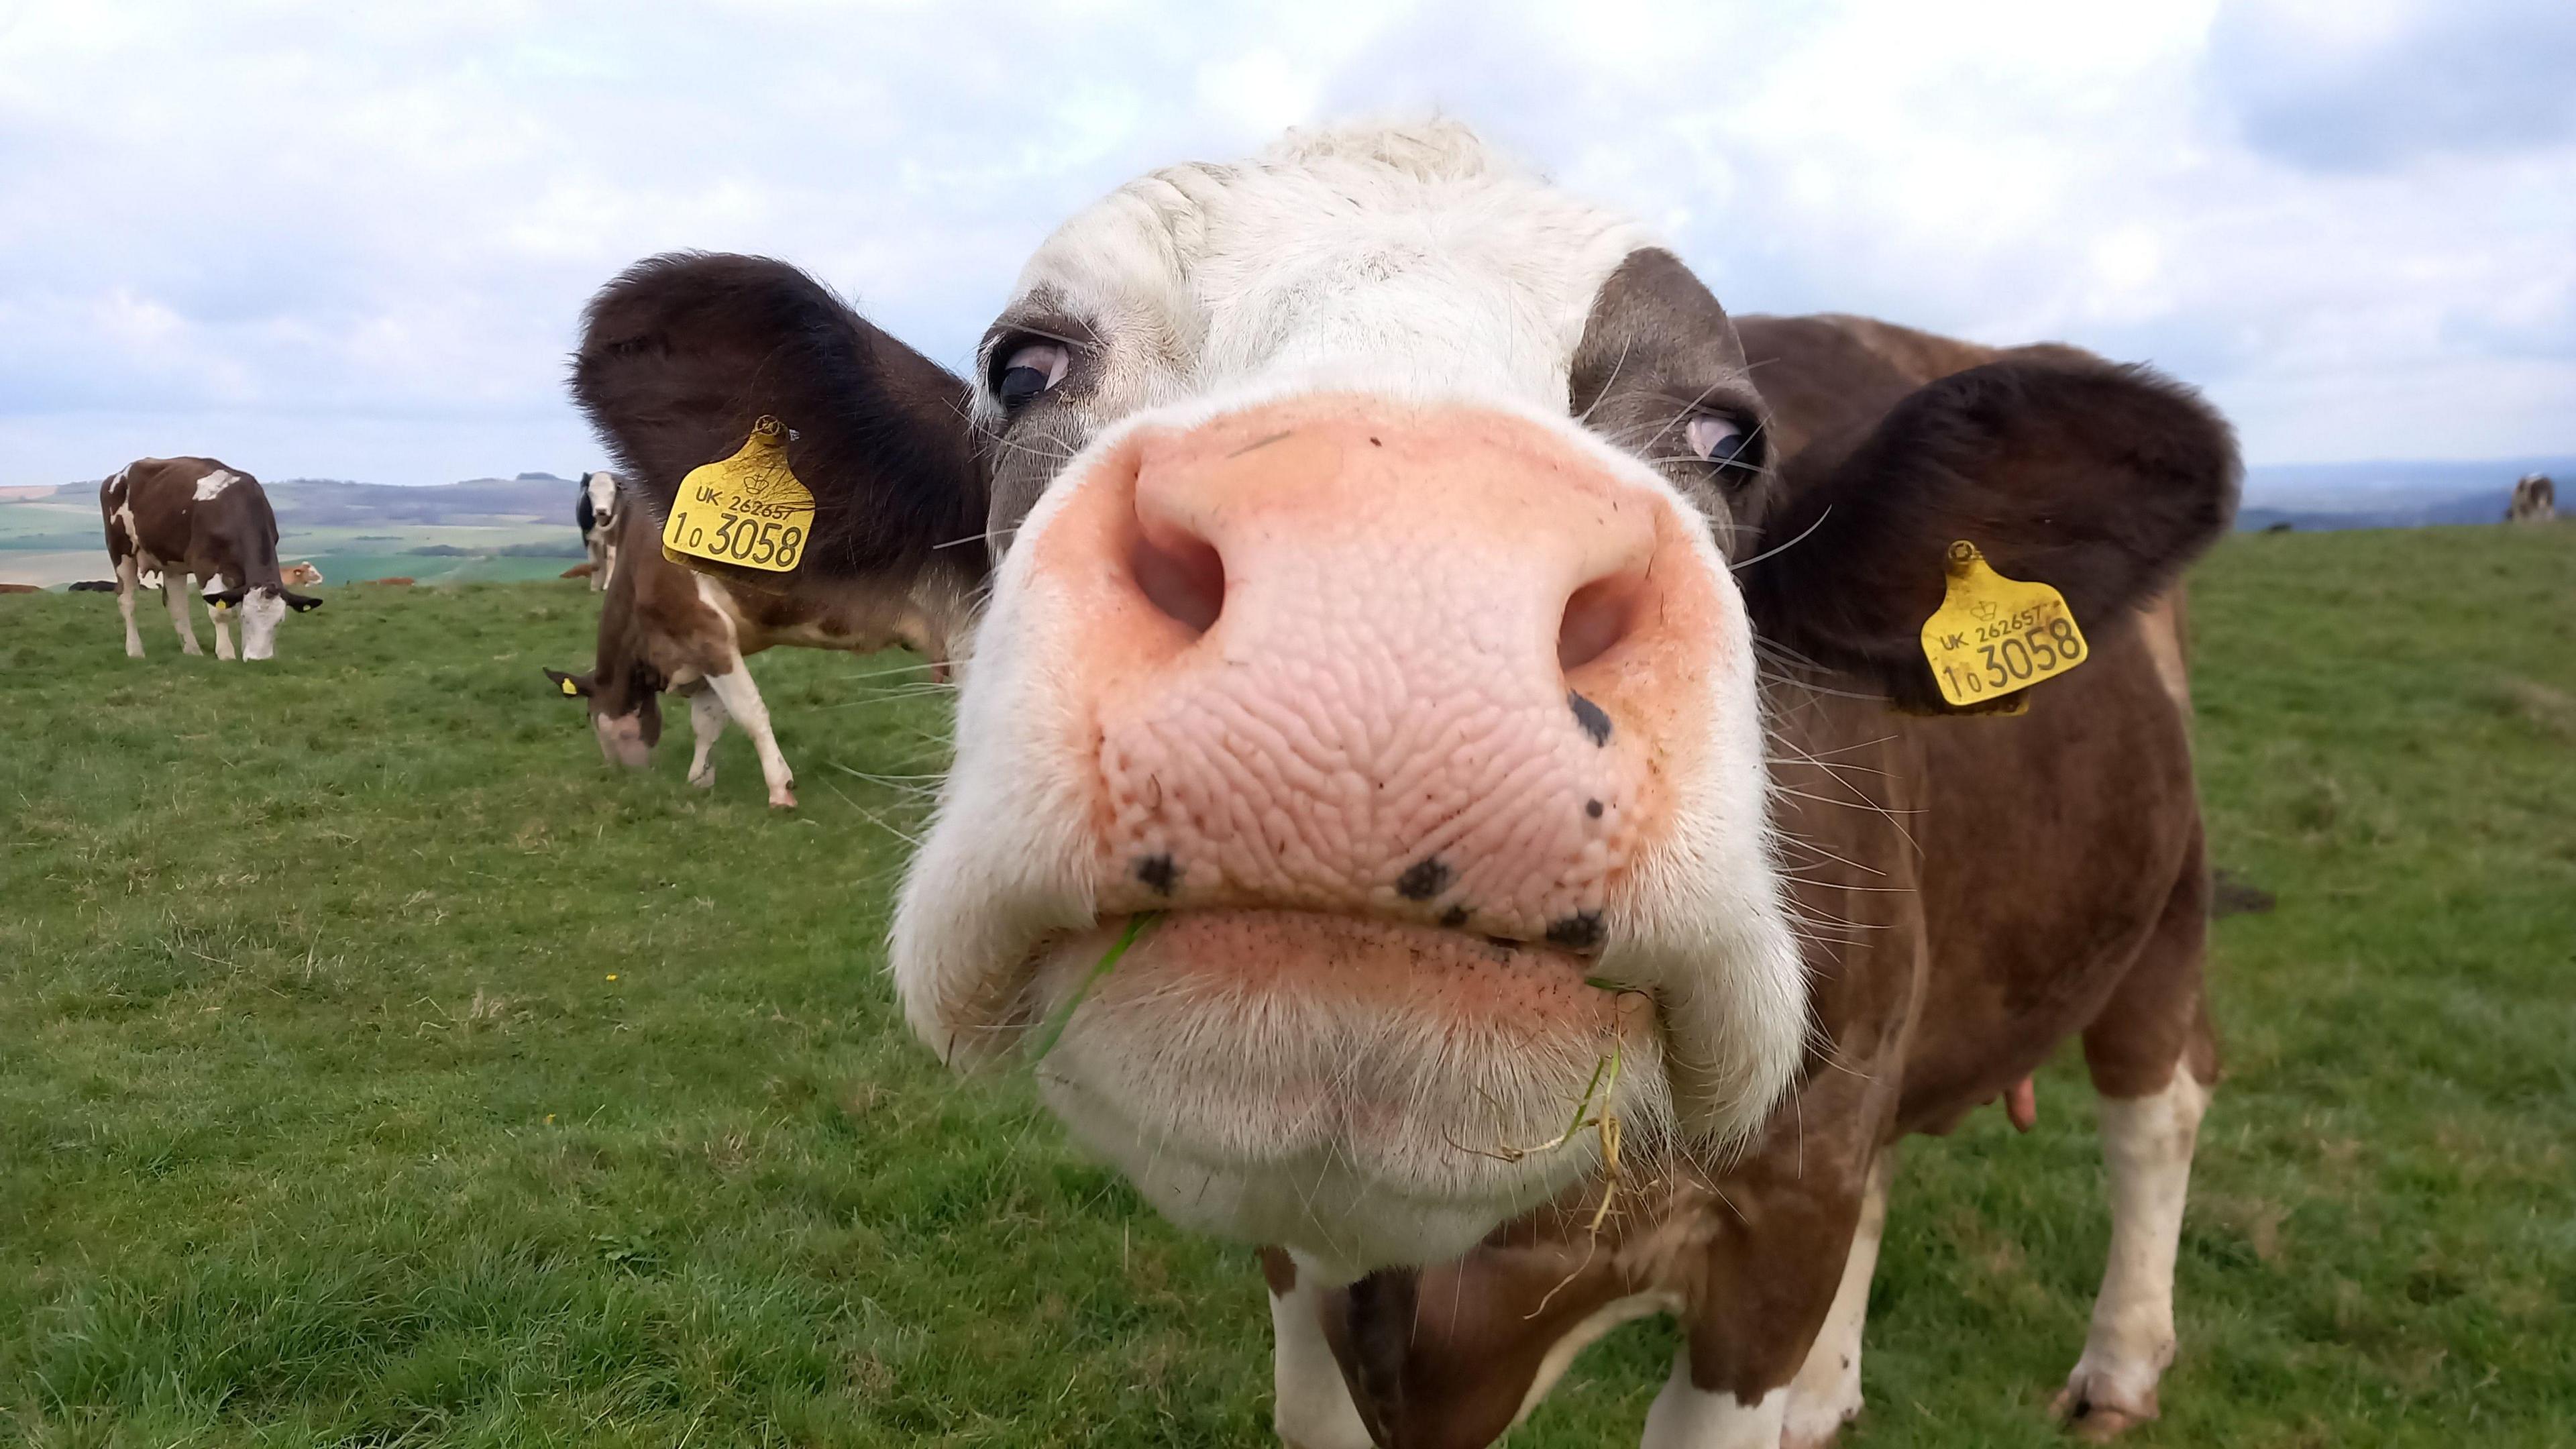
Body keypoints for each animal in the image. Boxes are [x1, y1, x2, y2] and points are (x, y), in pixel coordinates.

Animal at [99, 456, 324, 659]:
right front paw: (226, 654)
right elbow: (221, 613)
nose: (258, 660)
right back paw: (135, 650)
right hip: (121, 550)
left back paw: (192, 651)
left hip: (172, 561)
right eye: (247, 618)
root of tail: (119, 474)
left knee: (177, 605)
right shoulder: (205, 565)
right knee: (127, 600)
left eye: (279, 621)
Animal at [577, 472, 626, 590]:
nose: (601, 510)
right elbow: (594, 562)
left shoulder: (614, 534)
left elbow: (612, 557)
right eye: (591, 492)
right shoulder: (586, 535)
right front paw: (594, 587)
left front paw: (608, 585)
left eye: (612, 492)